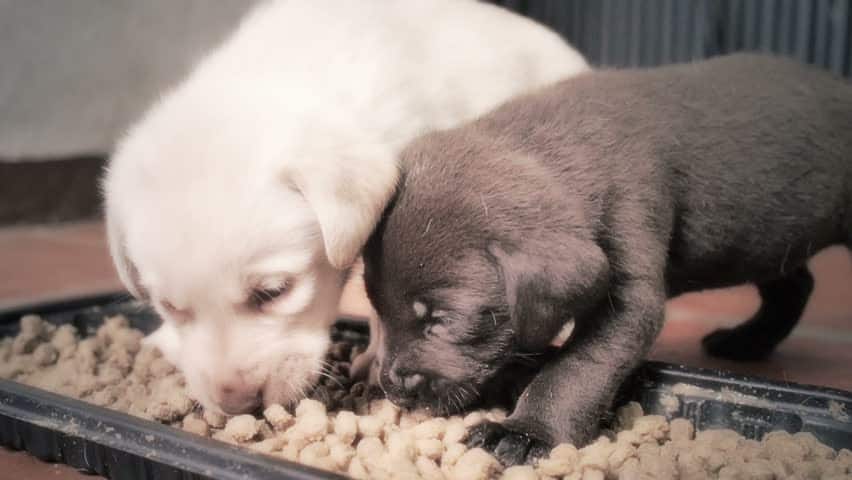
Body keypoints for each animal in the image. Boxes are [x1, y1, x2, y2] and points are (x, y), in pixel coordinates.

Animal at [362, 53, 852, 464]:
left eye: (442, 320)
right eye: (377, 311)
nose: (393, 387)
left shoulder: (628, 279)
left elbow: (574, 370)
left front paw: (527, 431)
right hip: (771, 243)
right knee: (795, 286)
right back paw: (748, 341)